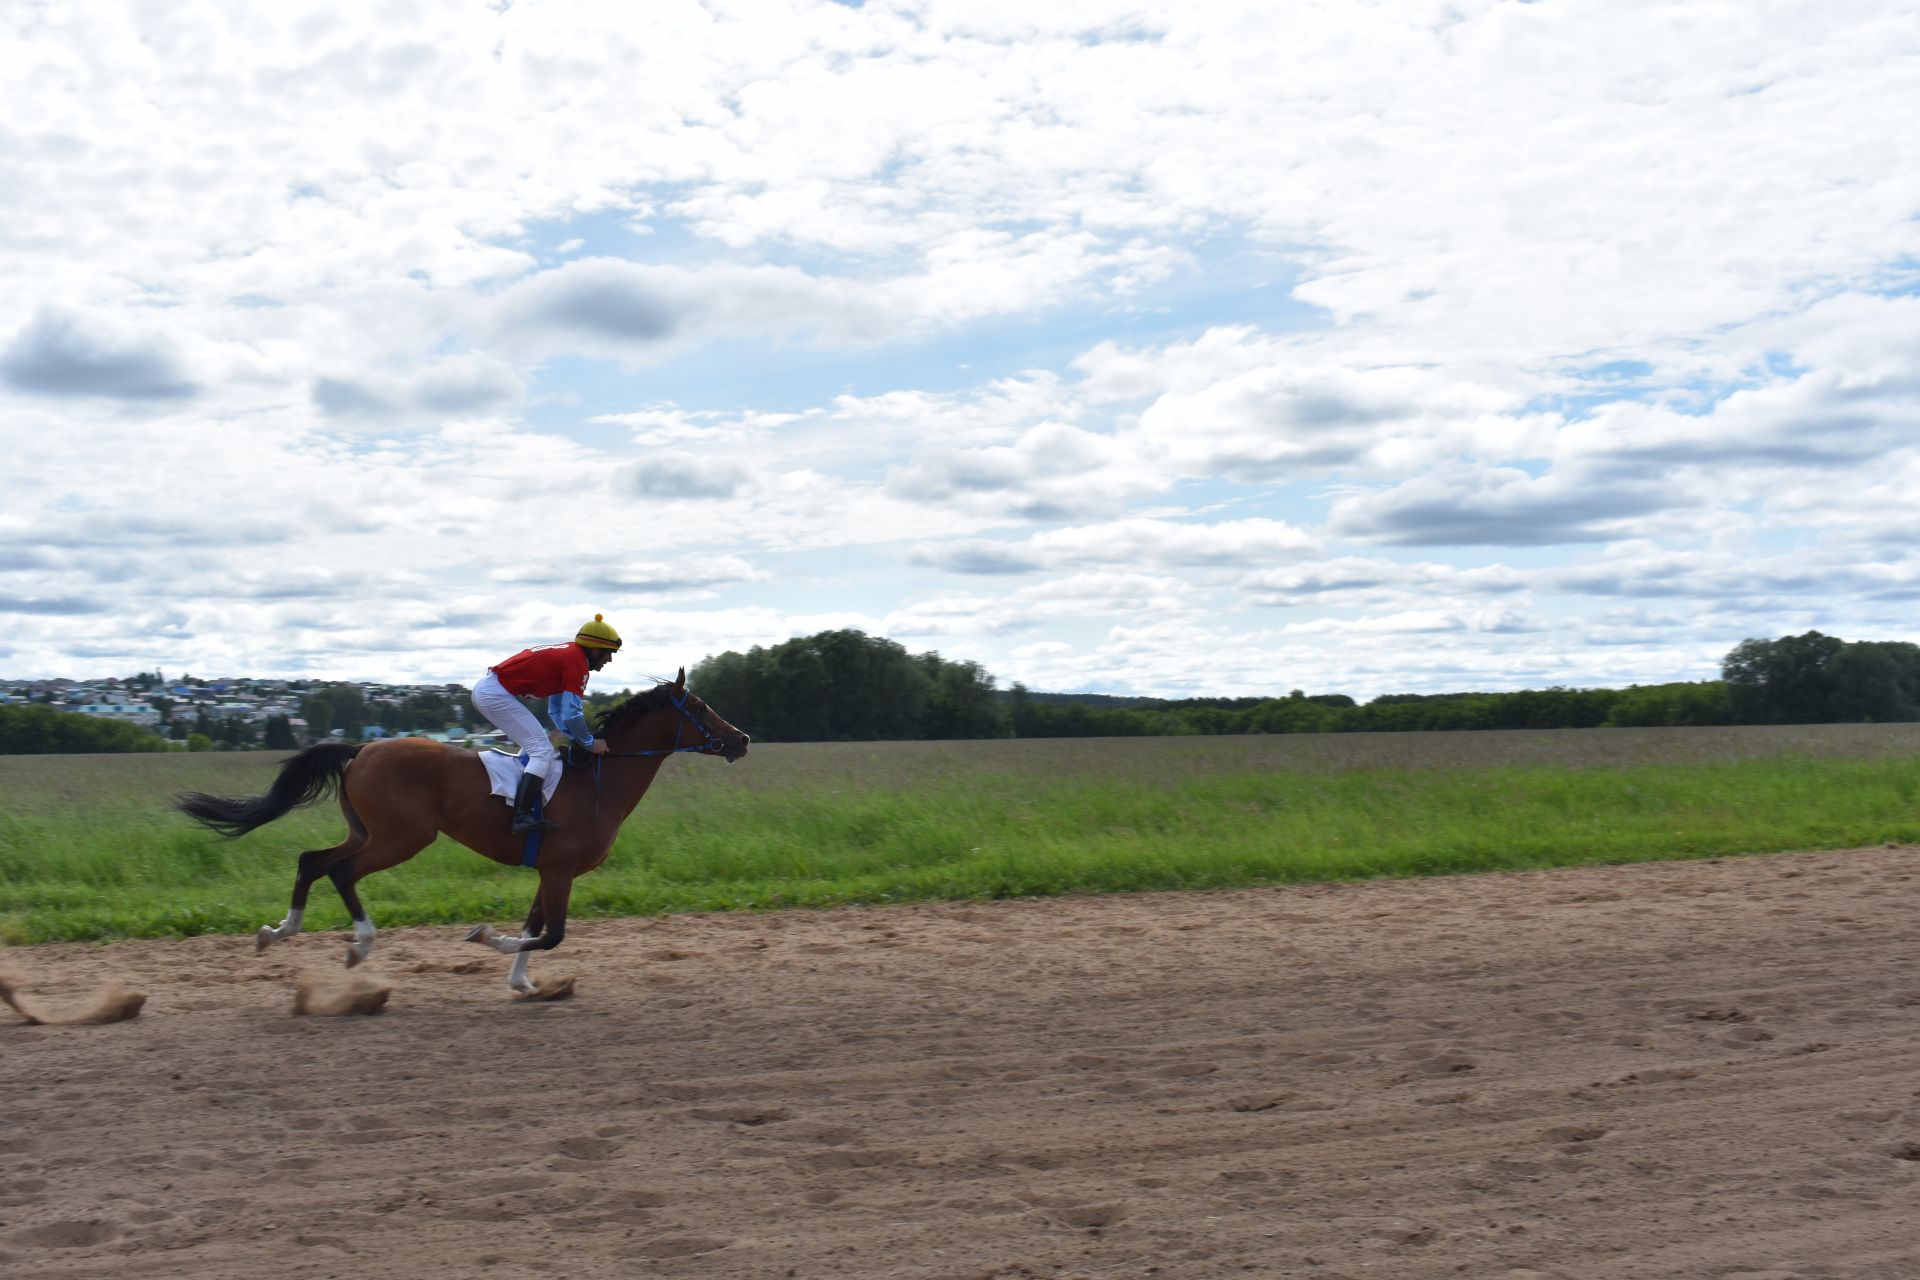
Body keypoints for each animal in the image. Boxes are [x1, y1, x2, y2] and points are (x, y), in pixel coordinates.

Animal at [174, 675, 748, 997]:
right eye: (700, 708)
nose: (741, 739)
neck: (597, 784)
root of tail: (360, 749)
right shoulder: (560, 870)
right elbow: (552, 933)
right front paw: (485, 938)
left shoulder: (549, 870)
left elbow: (538, 924)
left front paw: (521, 981)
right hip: (403, 838)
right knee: (339, 870)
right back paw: (360, 945)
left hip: (368, 832)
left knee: (312, 860)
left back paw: (278, 931)